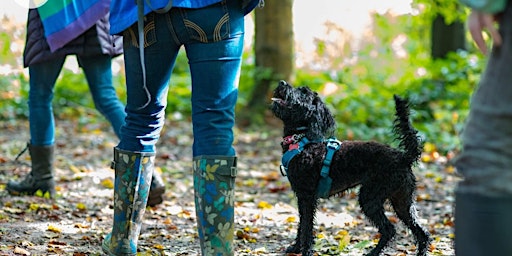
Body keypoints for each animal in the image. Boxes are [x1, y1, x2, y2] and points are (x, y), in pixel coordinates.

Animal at [270, 80, 430, 256]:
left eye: (303, 92)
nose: (282, 82)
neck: (301, 141)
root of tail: (403, 157)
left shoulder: (307, 197)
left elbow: (306, 228)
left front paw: (305, 251)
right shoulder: (302, 197)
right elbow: (301, 225)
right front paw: (296, 248)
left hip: (370, 197)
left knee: (390, 229)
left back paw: (373, 253)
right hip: (402, 200)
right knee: (422, 233)